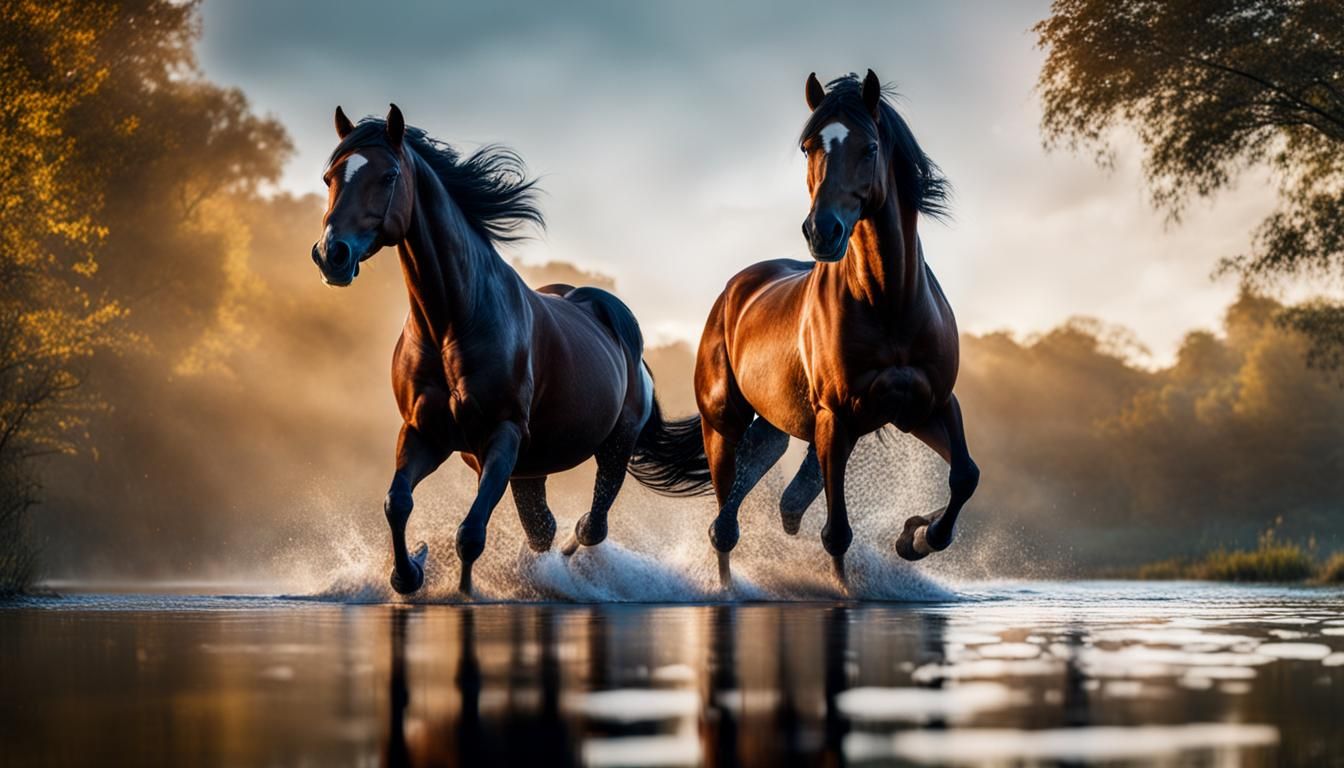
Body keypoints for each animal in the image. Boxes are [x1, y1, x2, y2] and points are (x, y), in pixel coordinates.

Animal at [312, 104, 709, 596]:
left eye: (388, 176)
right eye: (330, 177)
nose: (331, 255)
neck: (451, 323)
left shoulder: (501, 437)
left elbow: (470, 532)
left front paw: (461, 591)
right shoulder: (424, 433)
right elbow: (397, 502)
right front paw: (409, 573)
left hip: (613, 446)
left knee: (589, 527)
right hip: (531, 469)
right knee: (545, 529)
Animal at [694, 71, 980, 586]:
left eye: (870, 147)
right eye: (808, 148)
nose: (821, 232)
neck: (888, 303)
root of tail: (733, 290)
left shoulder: (929, 405)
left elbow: (965, 475)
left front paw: (916, 536)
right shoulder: (836, 416)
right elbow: (837, 534)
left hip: (775, 424)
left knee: (763, 484)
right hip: (722, 423)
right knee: (724, 525)